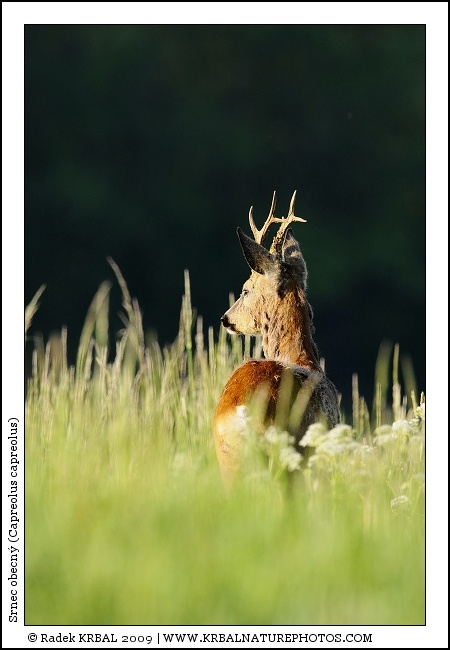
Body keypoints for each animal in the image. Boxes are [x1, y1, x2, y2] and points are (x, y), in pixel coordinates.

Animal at [213, 191, 340, 485]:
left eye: (245, 290)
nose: (225, 318)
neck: (302, 358)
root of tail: (243, 411)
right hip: (287, 460)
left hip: (228, 460)